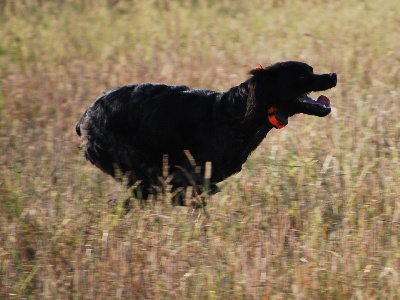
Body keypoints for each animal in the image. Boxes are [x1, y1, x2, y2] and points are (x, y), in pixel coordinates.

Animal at [76, 62, 338, 205]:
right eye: (302, 75)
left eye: (311, 69)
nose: (333, 75)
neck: (237, 115)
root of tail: (85, 118)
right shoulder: (189, 179)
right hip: (140, 172)